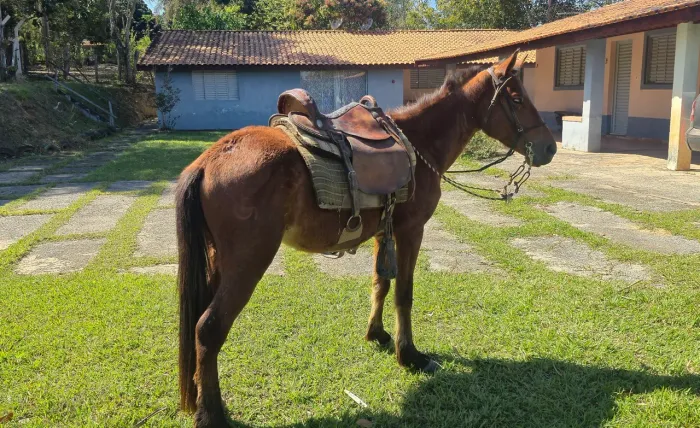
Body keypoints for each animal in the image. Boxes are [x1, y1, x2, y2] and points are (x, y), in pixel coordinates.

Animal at [175, 51, 557, 427]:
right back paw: (212, 415)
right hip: (248, 263)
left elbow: (380, 284)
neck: (418, 144)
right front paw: (410, 355)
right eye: (517, 99)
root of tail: (209, 160)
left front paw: (377, 334)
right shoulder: (411, 230)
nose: (550, 148)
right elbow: (404, 292)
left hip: (219, 262)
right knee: (208, 328)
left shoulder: (382, 232)